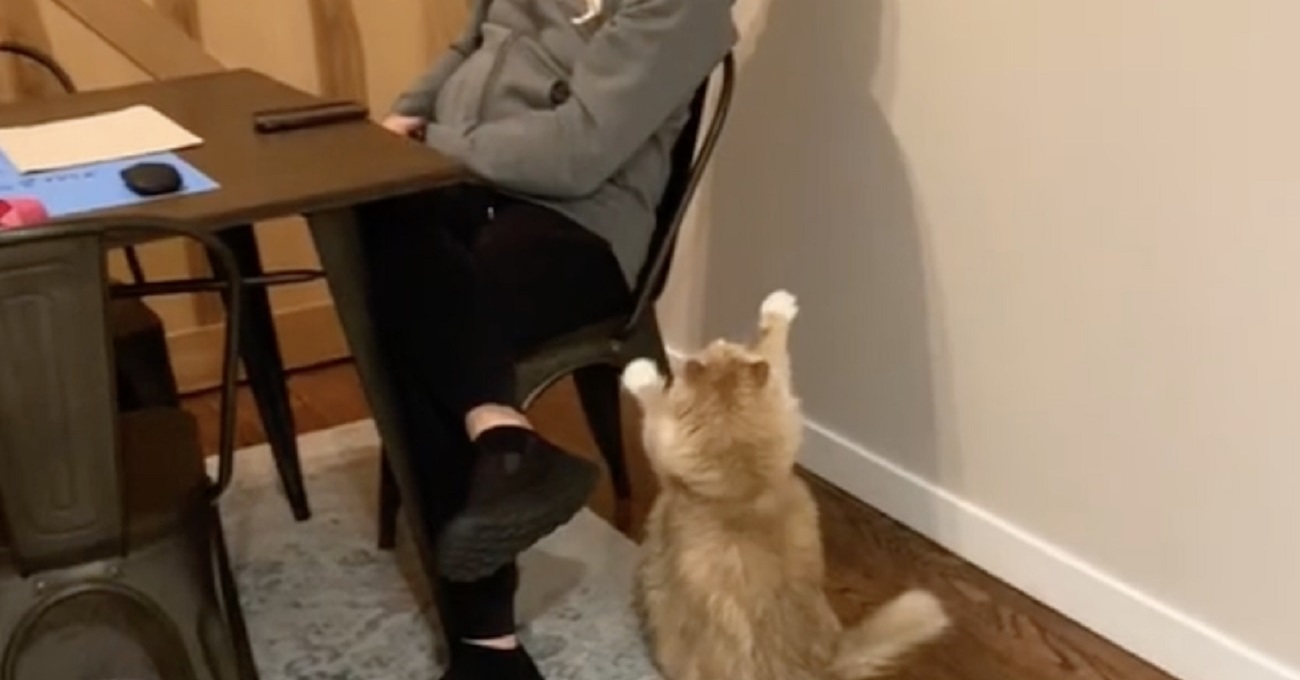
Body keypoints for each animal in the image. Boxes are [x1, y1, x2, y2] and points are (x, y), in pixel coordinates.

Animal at [621, 290, 949, 680]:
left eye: (721, 348)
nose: (719, 340)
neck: (741, 483)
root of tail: (823, 666)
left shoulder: (663, 440)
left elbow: (656, 399)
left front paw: (639, 373)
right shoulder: (783, 407)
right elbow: (774, 355)